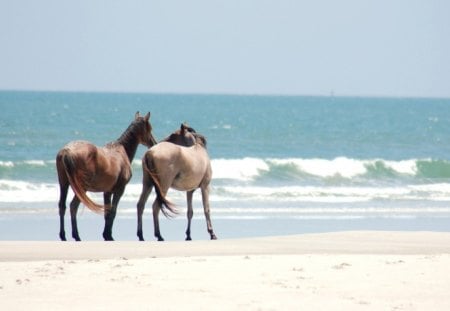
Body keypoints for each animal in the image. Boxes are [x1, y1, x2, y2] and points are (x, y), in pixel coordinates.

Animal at [57, 112, 157, 241]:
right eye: (149, 128)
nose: (154, 143)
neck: (121, 151)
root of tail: (66, 151)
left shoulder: (107, 191)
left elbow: (107, 213)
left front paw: (106, 234)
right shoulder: (119, 190)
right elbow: (112, 212)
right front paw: (109, 235)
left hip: (64, 184)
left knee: (62, 206)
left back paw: (63, 235)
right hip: (81, 188)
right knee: (73, 206)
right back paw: (76, 236)